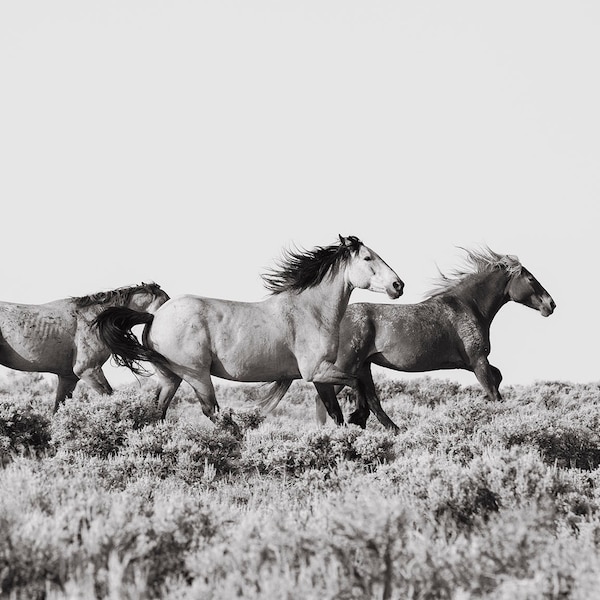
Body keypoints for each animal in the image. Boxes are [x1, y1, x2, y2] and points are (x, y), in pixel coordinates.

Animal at [95, 233, 404, 418]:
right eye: (368, 257)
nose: (398, 285)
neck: (310, 311)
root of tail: (156, 316)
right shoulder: (317, 371)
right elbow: (357, 384)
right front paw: (359, 418)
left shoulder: (320, 377)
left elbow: (335, 412)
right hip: (197, 376)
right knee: (212, 412)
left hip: (170, 377)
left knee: (157, 410)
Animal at [260, 248, 556, 432]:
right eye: (531, 278)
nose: (550, 305)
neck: (467, 306)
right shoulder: (477, 361)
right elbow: (494, 391)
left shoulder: (475, 363)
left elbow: (498, 378)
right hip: (345, 366)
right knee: (326, 398)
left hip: (362, 367)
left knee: (367, 401)